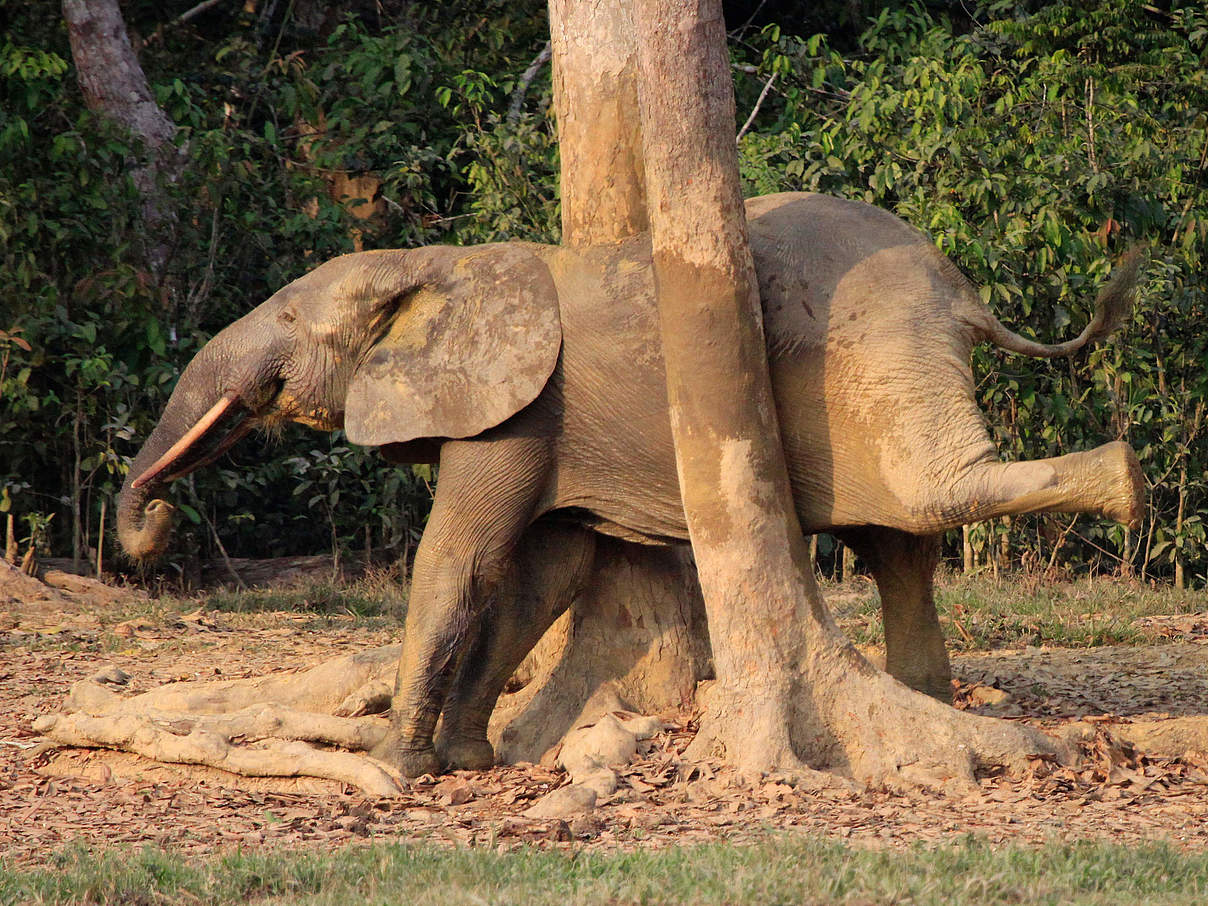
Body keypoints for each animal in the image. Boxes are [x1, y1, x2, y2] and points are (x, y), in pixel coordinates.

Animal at [115, 193, 1140, 782]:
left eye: (290, 323)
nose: (153, 522)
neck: (439, 263)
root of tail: (962, 292)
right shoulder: (540, 420)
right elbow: (544, 572)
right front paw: (471, 760)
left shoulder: (518, 405)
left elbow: (462, 559)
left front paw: (397, 768)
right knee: (900, 548)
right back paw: (931, 697)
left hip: (874, 351)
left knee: (929, 491)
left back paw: (1126, 483)